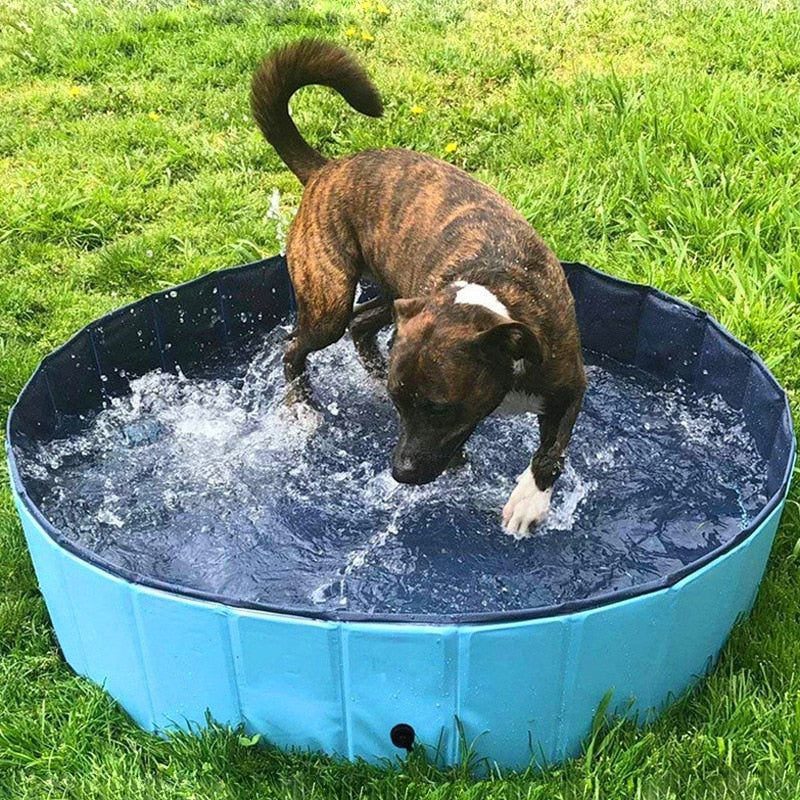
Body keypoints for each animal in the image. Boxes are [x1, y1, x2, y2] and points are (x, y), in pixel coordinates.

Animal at [250, 39, 588, 536]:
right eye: (400, 406)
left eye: (440, 408)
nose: (400, 472)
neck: (494, 303)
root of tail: (326, 169)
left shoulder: (568, 384)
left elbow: (551, 452)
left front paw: (529, 501)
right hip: (329, 297)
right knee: (295, 346)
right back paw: (302, 408)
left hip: (394, 294)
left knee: (359, 325)